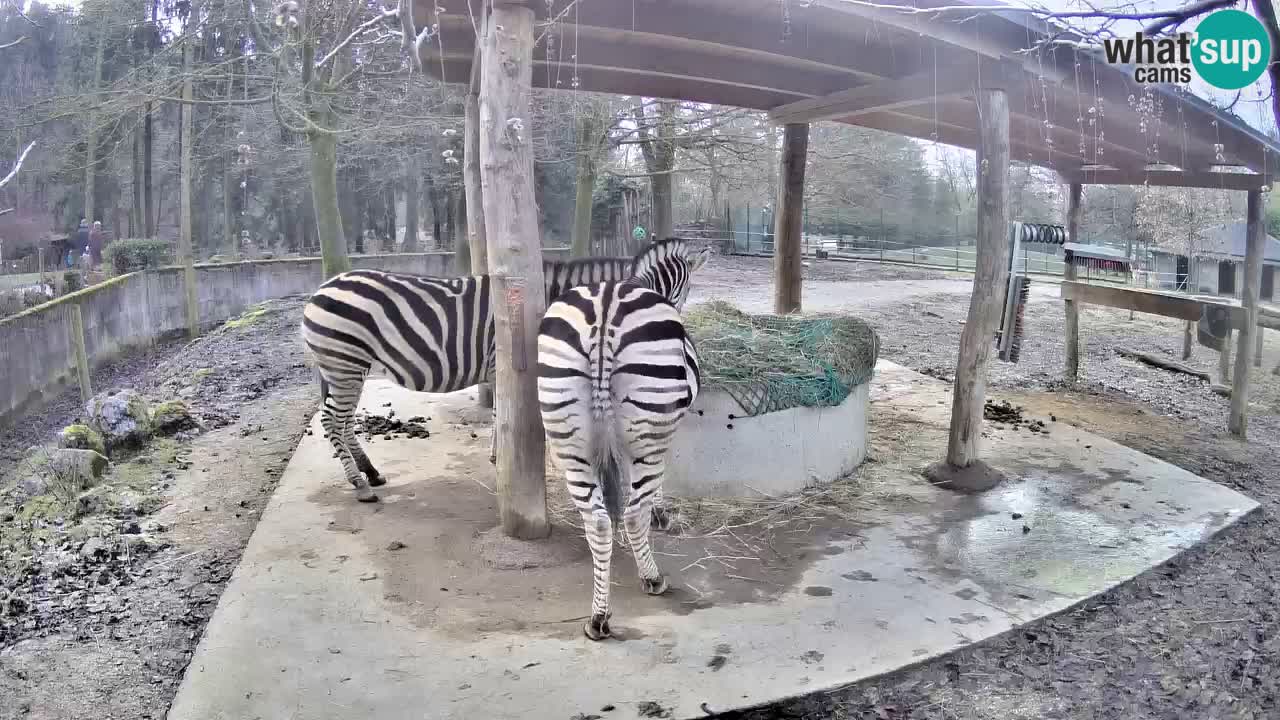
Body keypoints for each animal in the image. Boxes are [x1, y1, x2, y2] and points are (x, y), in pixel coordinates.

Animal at [296, 235, 711, 499]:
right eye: (680, 294)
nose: (680, 343)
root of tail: (320, 289)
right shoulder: (507, 365)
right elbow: (508, 414)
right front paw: (505, 457)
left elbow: (501, 414)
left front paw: (498, 454)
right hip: (345, 363)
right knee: (332, 421)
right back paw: (359, 484)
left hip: (345, 367)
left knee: (343, 421)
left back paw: (371, 472)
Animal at [537, 278, 706, 635]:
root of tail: (604, 309)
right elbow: (645, 493)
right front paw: (658, 516)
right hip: (648, 431)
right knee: (630, 514)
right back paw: (652, 579)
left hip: (569, 437)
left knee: (598, 521)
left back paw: (598, 616)